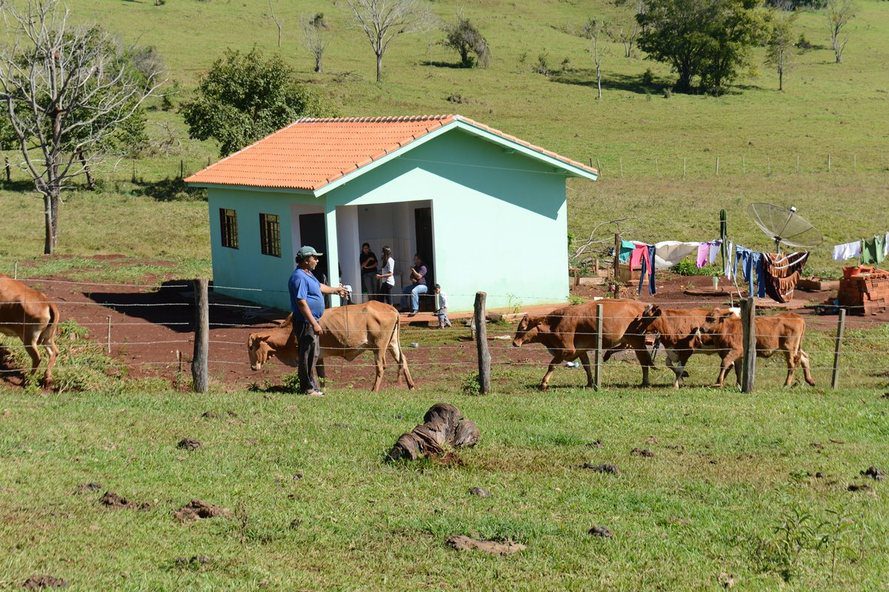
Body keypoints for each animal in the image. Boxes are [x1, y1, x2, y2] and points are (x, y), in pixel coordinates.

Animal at [245, 300, 414, 394]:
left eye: (252, 347)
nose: (252, 367)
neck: (290, 331)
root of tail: (391, 309)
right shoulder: (320, 357)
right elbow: (322, 375)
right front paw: (323, 390)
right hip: (392, 344)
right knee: (403, 360)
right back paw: (411, 386)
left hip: (379, 347)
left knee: (381, 366)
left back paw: (374, 390)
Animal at [512, 300, 652, 388]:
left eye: (523, 327)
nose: (514, 343)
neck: (555, 324)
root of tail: (640, 305)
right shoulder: (581, 350)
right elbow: (587, 366)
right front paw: (590, 383)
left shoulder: (567, 350)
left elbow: (552, 365)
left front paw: (543, 383)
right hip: (629, 339)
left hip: (637, 341)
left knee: (644, 360)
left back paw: (645, 382)